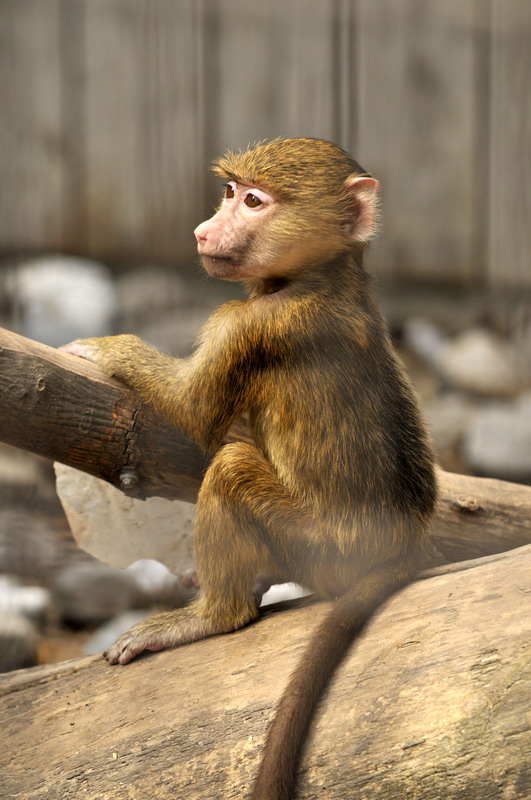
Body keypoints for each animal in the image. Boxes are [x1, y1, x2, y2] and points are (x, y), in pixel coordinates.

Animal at [62, 137, 437, 800]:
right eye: (231, 192)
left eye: (255, 202)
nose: (203, 229)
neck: (321, 276)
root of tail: (399, 544)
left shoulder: (247, 326)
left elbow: (194, 414)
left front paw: (105, 348)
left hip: (322, 548)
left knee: (233, 467)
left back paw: (214, 615)